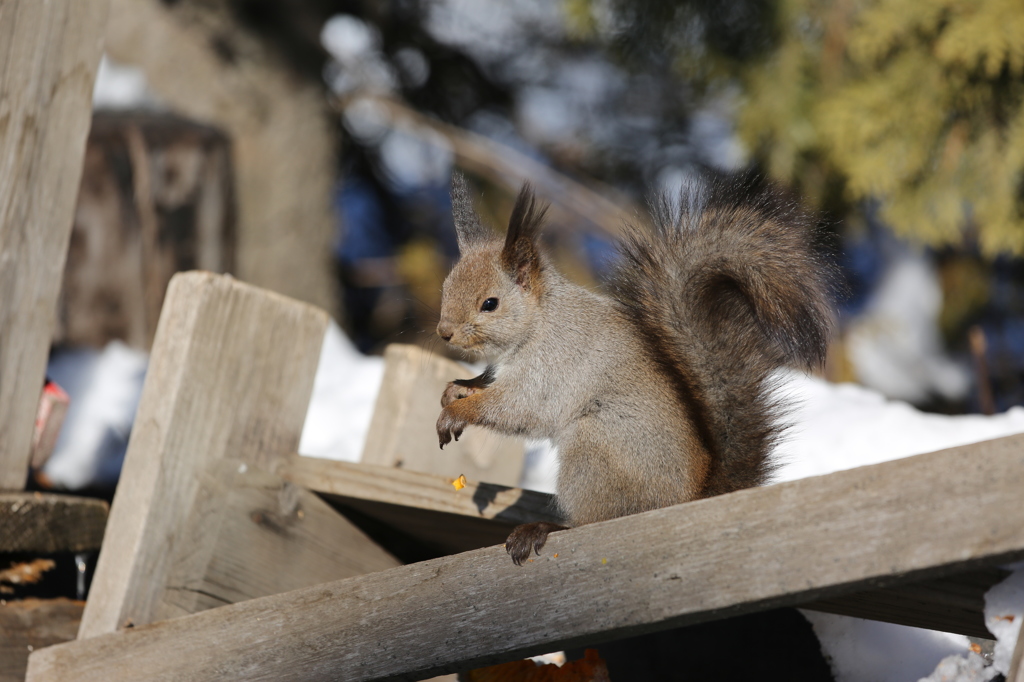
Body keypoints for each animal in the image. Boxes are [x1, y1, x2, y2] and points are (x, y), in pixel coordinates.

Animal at [432, 171, 831, 561]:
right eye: (445, 288)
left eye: (490, 303)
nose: (444, 332)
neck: (537, 323)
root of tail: (688, 499)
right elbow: (484, 385)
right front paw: (456, 389)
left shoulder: (552, 366)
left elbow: (517, 409)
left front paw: (457, 413)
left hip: (597, 445)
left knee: (597, 519)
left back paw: (547, 528)